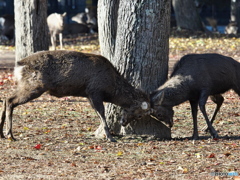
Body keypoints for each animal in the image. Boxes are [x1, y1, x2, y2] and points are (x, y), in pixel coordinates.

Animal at [0, 50, 150, 142]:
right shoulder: (95, 91)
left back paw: (2, 134)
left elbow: (98, 113)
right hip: (34, 86)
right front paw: (110, 137)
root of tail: (18, 65)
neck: (111, 88)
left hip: (26, 85)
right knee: (10, 100)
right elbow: (101, 113)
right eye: (140, 114)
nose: (123, 122)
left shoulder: (88, 95)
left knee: (6, 99)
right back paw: (10, 134)